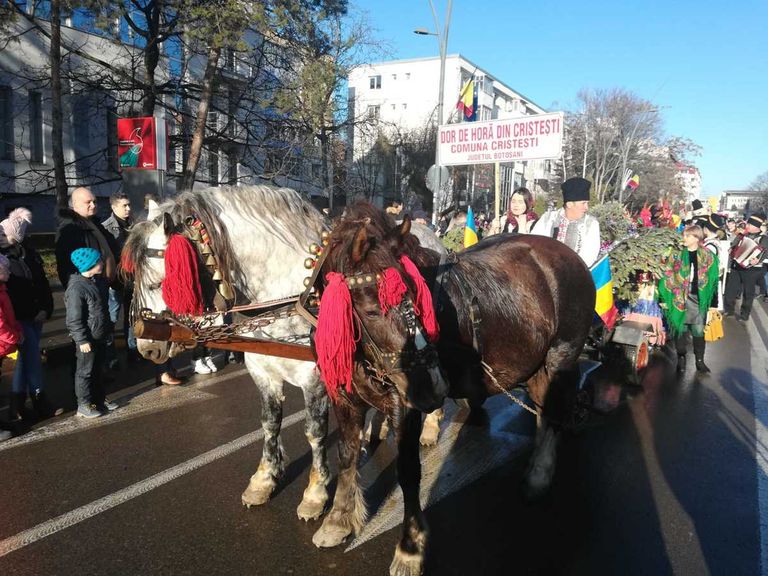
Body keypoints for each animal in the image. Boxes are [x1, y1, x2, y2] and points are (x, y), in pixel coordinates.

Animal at [124, 186, 330, 520]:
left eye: (158, 283)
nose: (148, 348)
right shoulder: (263, 372)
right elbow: (269, 423)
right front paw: (263, 480)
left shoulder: (315, 380)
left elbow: (314, 432)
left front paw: (316, 493)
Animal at [310, 202, 592, 576]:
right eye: (371, 311)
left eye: (417, 297)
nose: (433, 387)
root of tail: (569, 256)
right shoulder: (344, 398)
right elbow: (346, 454)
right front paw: (338, 520)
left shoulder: (405, 406)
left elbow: (407, 471)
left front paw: (410, 547)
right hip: (535, 364)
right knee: (544, 411)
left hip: (562, 356)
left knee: (557, 411)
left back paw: (539, 477)